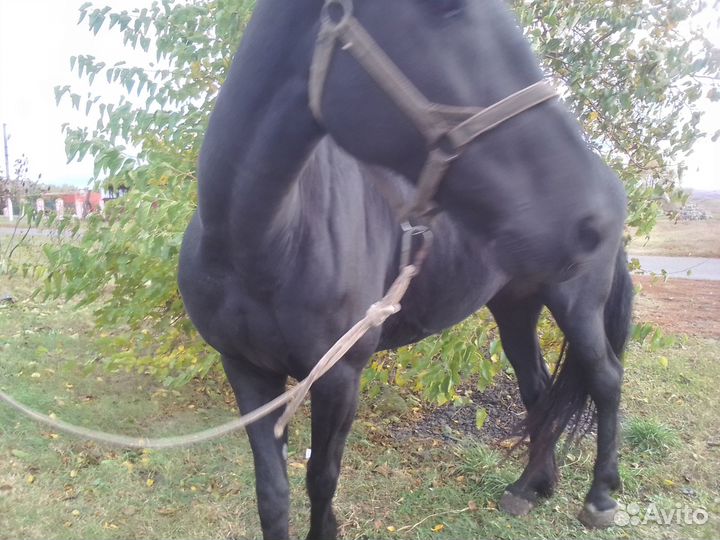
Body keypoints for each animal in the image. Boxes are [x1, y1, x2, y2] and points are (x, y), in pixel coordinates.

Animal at [177, 0, 633, 538]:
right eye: (445, 9)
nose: (589, 214)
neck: (262, 244)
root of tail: (611, 179)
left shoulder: (339, 377)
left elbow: (321, 479)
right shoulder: (246, 369)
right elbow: (273, 494)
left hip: (578, 304)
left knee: (605, 378)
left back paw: (600, 496)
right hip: (516, 306)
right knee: (538, 389)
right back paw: (529, 487)